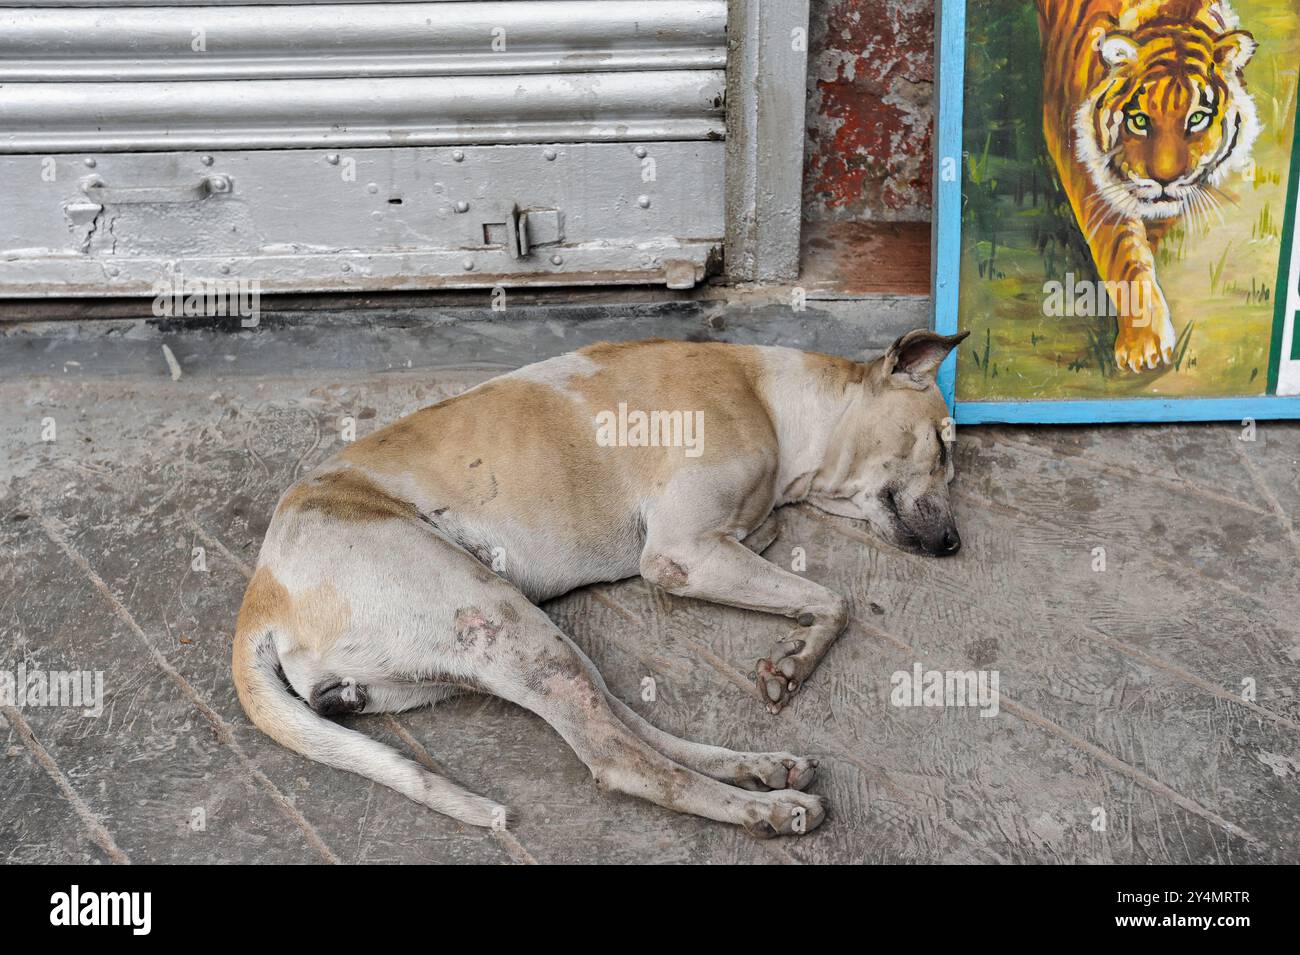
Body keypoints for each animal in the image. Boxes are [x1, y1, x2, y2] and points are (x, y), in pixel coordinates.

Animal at [231, 332, 967, 841]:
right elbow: (835, 598)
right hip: (507, 625)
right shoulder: (680, 555)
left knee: (624, 719)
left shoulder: (722, 543)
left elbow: (802, 576)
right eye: (943, 447)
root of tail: (262, 595)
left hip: (516, 646)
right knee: (622, 757)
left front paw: (791, 655)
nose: (955, 545)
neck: (774, 402)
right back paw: (769, 807)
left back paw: (760, 768)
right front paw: (799, 658)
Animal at [1034, 0, 1258, 371]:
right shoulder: (1081, 160)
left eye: (1197, 118)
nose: (1164, 180)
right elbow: (1124, 251)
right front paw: (1144, 343)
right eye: (1139, 120)